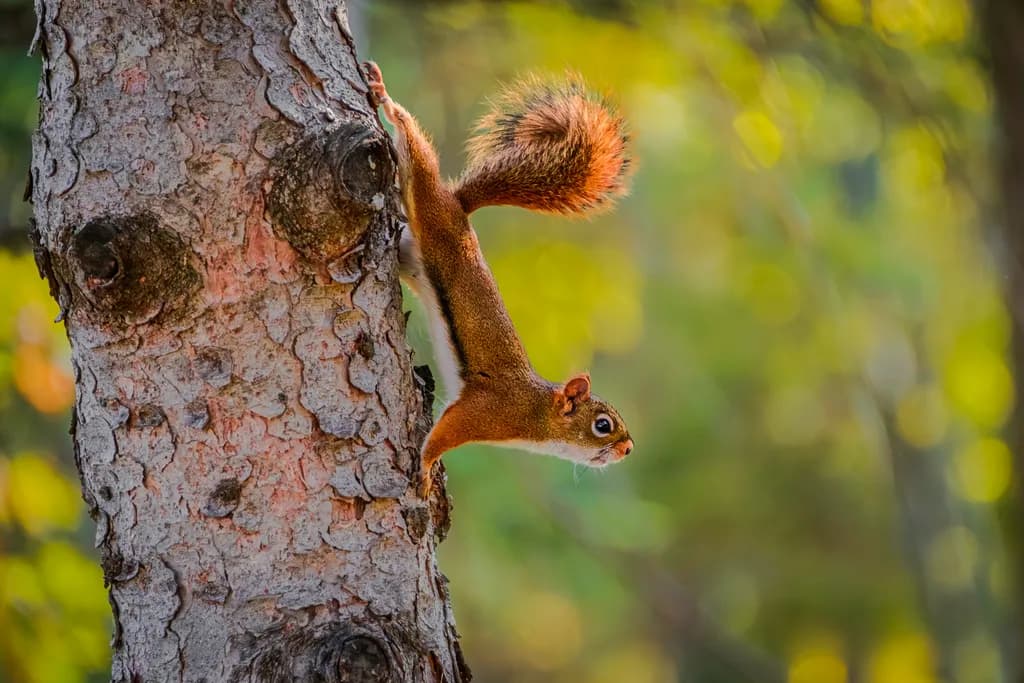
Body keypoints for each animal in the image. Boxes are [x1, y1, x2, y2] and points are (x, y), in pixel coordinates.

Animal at [364, 62, 634, 497]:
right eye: (602, 425)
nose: (628, 449)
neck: (536, 413)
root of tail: (458, 208)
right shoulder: (483, 412)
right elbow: (441, 437)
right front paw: (426, 471)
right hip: (427, 200)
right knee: (416, 153)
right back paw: (383, 93)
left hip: (409, 254)